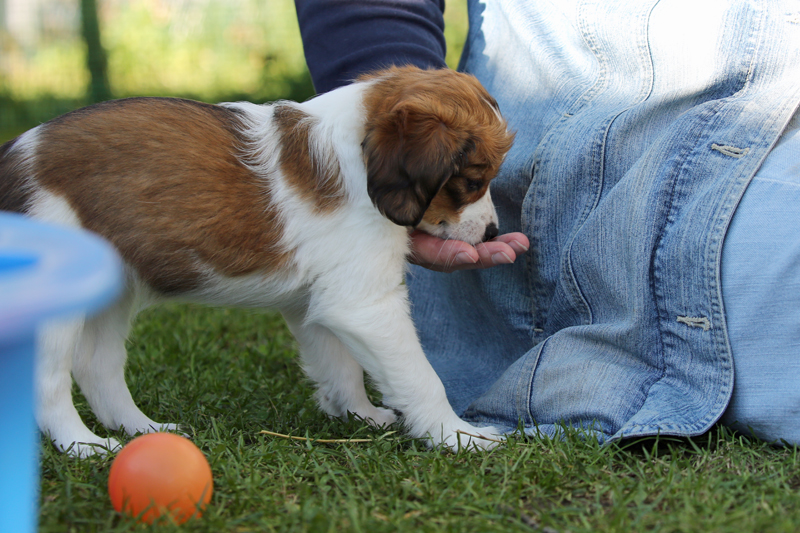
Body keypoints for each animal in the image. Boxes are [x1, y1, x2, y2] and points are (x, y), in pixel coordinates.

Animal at [0, 66, 512, 458]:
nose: (492, 233)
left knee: (96, 365)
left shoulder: (317, 302)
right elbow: (421, 377)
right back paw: (82, 446)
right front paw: (458, 435)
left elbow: (341, 365)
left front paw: (360, 415)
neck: (358, 157)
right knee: (48, 382)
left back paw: (142, 430)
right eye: (473, 180)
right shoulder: (365, 304)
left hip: (115, 284)